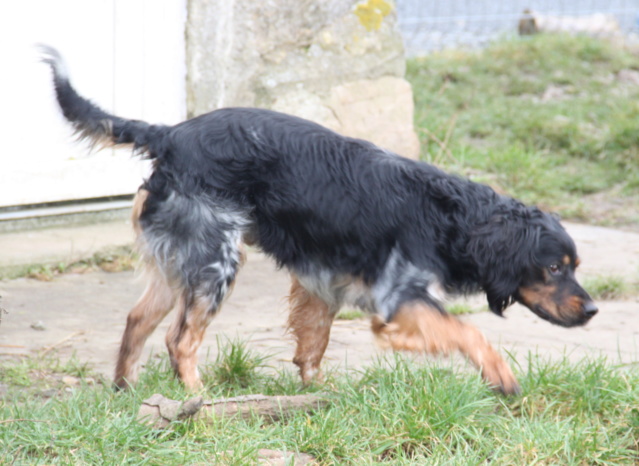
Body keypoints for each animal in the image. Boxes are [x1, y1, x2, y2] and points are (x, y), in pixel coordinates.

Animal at [41, 47, 600, 394]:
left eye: (573, 266)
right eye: (554, 268)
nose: (593, 309)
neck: (452, 215)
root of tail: (170, 134)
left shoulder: (322, 281)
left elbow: (314, 343)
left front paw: (318, 393)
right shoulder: (397, 297)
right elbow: (466, 332)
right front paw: (501, 376)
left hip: (178, 261)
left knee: (137, 320)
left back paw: (126, 391)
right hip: (216, 262)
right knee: (180, 341)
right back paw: (201, 401)